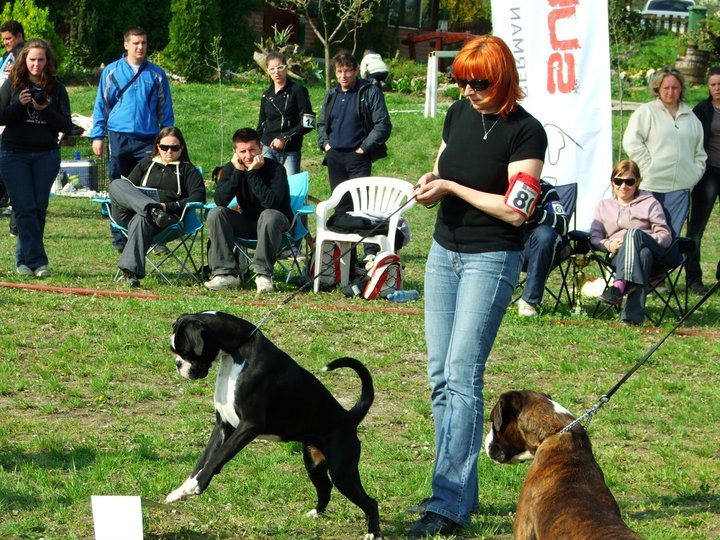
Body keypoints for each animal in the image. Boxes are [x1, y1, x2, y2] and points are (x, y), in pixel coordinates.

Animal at [168, 310, 380, 536]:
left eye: (186, 351)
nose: (178, 364)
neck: (237, 353)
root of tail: (349, 417)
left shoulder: (249, 426)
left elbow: (217, 458)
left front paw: (196, 487)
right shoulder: (223, 425)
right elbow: (203, 459)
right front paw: (182, 490)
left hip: (342, 472)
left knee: (370, 502)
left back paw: (373, 532)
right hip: (314, 464)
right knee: (325, 488)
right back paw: (316, 512)